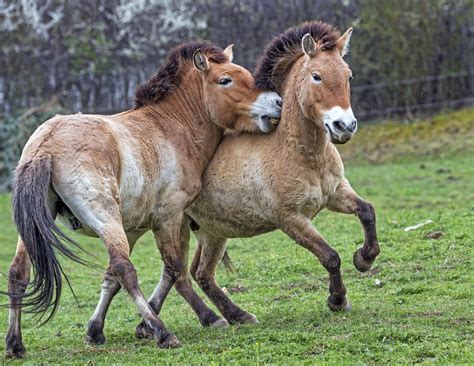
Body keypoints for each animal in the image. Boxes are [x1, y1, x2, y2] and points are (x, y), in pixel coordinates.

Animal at [3, 40, 282, 358]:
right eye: (226, 80)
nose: (278, 102)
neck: (169, 128)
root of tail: (46, 144)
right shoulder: (169, 218)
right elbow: (174, 269)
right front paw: (210, 318)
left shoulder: (135, 229)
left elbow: (112, 280)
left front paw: (95, 330)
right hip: (104, 216)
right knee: (126, 270)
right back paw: (164, 333)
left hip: (38, 223)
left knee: (18, 273)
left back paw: (15, 345)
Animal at [135, 22, 380, 332]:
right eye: (317, 76)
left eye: (348, 76)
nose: (344, 126)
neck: (300, 153)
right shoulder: (290, 219)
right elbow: (330, 256)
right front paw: (337, 300)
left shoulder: (336, 193)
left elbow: (367, 211)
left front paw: (364, 258)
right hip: (178, 227)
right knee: (180, 275)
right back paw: (212, 318)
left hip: (212, 231)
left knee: (199, 273)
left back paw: (230, 316)